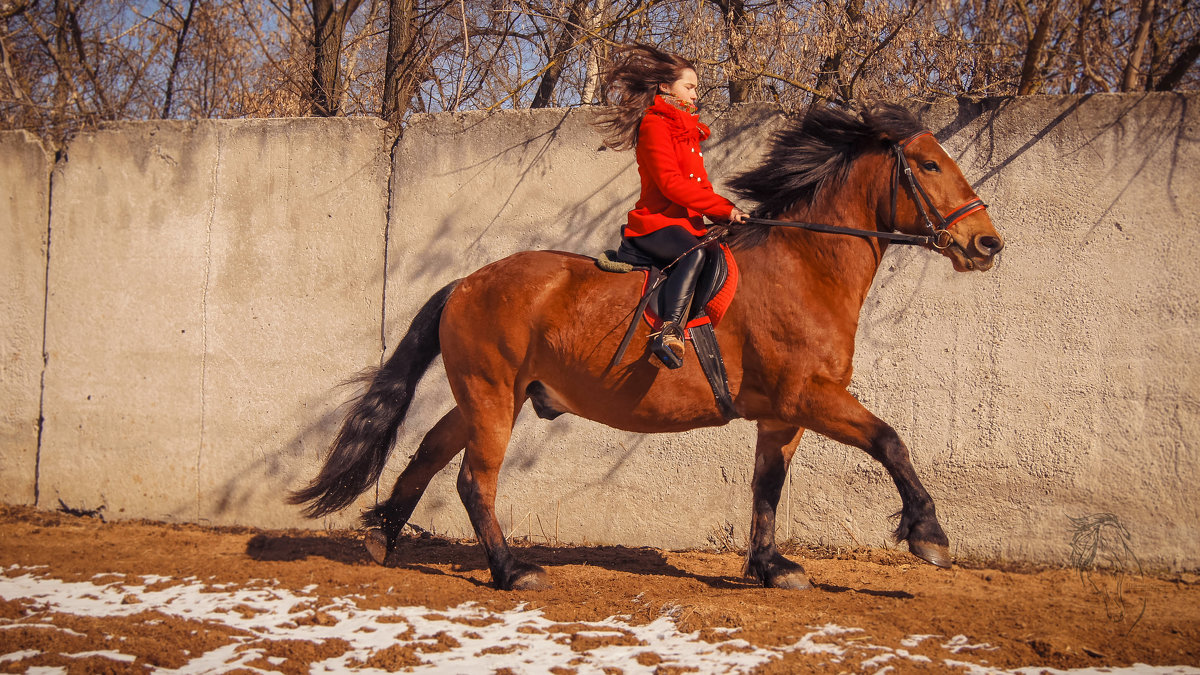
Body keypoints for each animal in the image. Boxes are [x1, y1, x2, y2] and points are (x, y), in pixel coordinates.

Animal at [290, 102, 1003, 586]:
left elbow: (767, 485)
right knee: (473, 478)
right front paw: (929, 534)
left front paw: (770, 565)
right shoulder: (812, 396)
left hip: (492, 394)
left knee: (432, 451)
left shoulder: (783, 414)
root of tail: (467, 281)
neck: (806, 264)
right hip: (492, 395)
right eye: (931, 164)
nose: (987, 244)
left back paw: (383, 537)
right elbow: (890, 441)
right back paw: (510, 570)